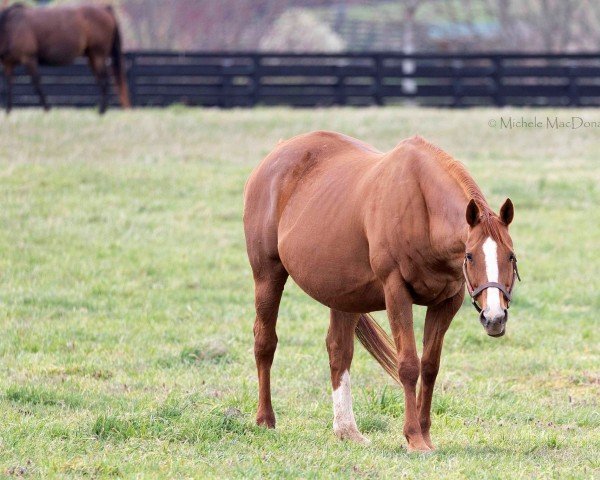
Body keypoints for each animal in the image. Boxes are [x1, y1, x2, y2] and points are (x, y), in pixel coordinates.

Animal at [0, 3, 131, 113]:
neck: (11, 26)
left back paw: (101, 111)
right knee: (100, 80)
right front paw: (8, 111)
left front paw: (47, 109)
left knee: (104, 81)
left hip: (98, 55)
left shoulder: (29, 59)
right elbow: (8, 86)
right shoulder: (8, 64)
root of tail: (105, 9)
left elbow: (37, 84)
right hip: (92, 57)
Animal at [244, 132, 520, 454]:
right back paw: (265, 419)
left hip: (344, 296)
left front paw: (425, 433)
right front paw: (414, 437)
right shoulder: (396, 292)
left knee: (339, 351)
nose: (494, 317)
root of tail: (276, 152)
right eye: (470, 256)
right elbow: (409, 365)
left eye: (511, 256)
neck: (422, 209)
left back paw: (347, 430)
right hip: (268, 276)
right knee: (265, 342)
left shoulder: (447, 301)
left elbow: (430, 366)